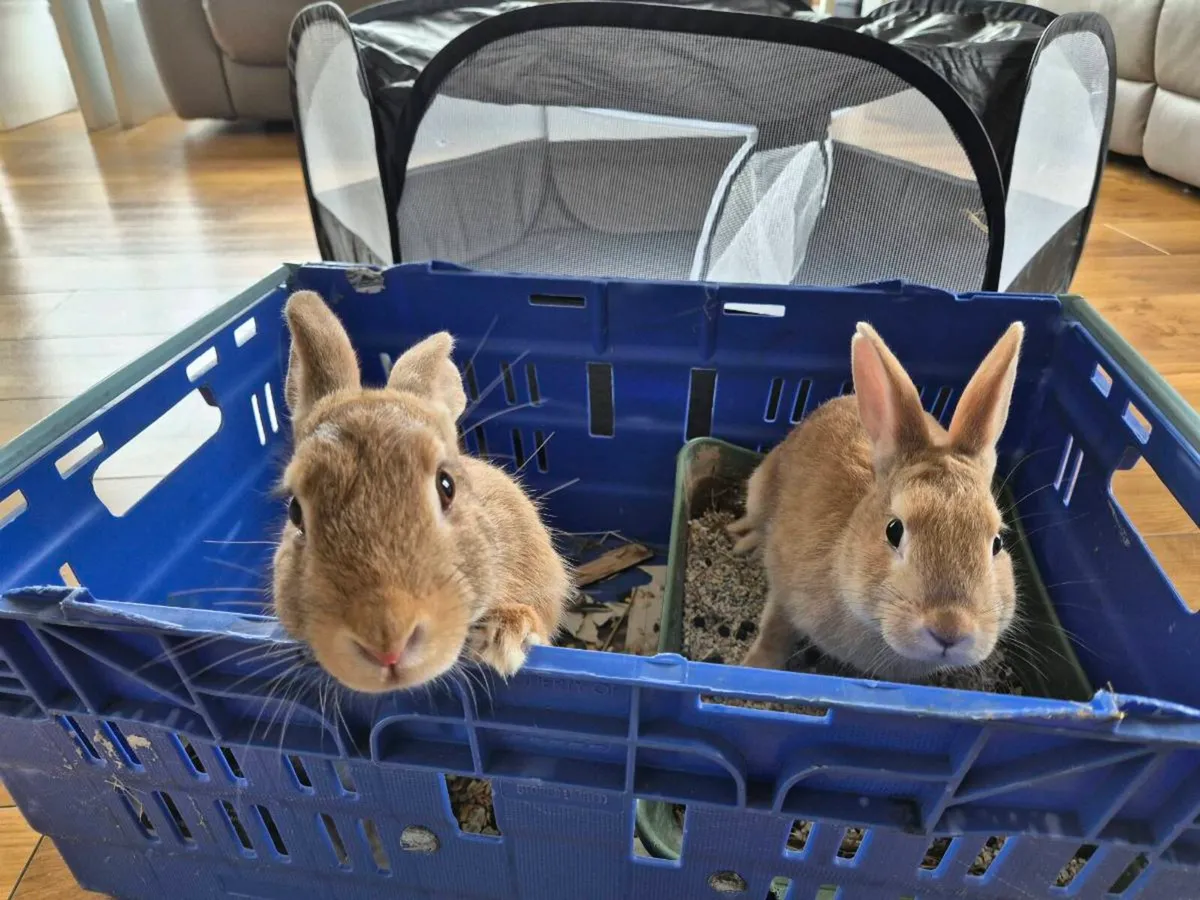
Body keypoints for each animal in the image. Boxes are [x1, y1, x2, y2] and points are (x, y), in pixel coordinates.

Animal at [728, 321, 1024, 682]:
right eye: (894, 530)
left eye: (997, 543)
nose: (950, 629)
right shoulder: (785, 591)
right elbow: (774, 630)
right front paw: (752, 668)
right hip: (758, 488)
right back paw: (745, 540)